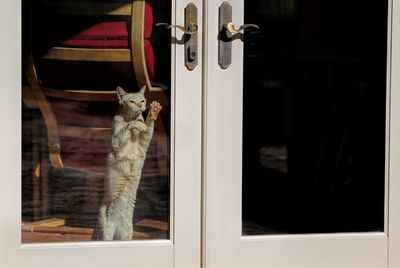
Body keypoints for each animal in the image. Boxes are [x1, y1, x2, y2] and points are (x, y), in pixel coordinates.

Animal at [94, 86, 162, 241]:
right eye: (131, 101)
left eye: (142, 100)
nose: (140, 106)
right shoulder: (115, 141)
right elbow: (128, 127)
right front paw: (136, 124)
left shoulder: (145, 142)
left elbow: (147, 127)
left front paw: (153, 111)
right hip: (107, 227)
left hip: (127, 233)